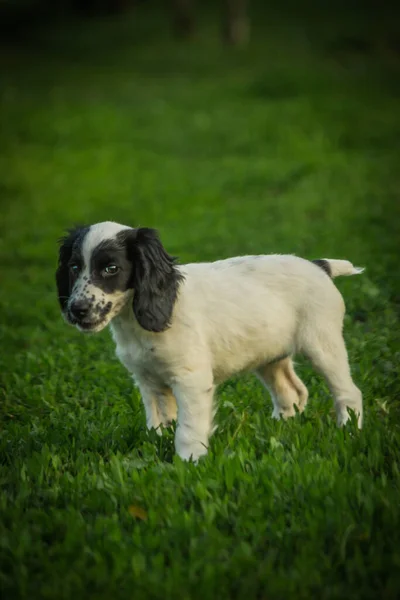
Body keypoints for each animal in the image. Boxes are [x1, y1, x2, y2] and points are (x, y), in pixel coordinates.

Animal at [57, 220, 366, 460]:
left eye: (111, 268)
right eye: (74, 267)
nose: (76, 309)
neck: (135, 321)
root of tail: (319, 266)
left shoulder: (191, 380)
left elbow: (187, 429)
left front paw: (188, 464)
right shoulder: (148, 381)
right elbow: (158, 424)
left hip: (322, 344)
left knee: (348, 392)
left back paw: (349, 431)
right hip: (269, 355)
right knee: (292, 392)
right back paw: (280, 428)